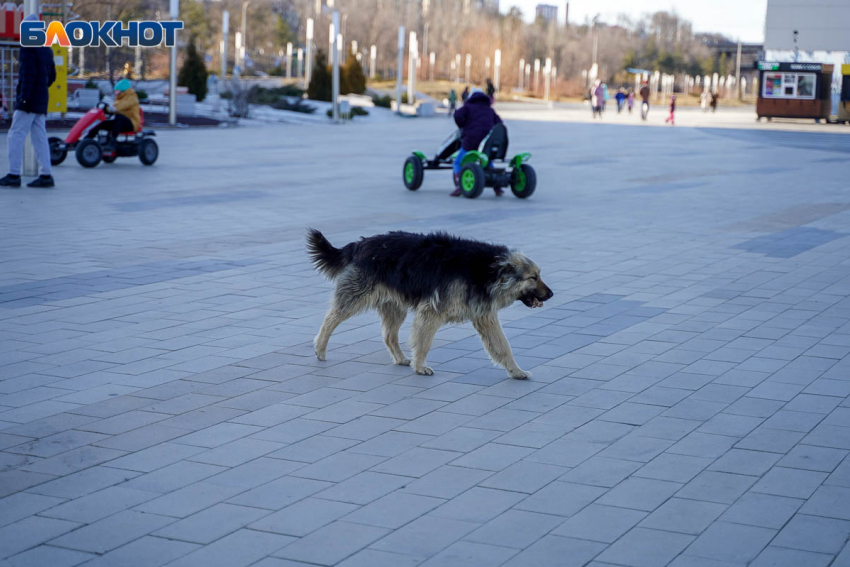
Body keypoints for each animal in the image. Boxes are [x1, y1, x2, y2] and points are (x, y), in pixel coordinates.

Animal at [304, 231, 548, 382]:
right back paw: (320, 348)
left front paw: (516, 372)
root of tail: (360, 244)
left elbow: (503, 347)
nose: (552, 294)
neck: (487, 270)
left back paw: (401, 359)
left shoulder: (485, 317)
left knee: (389, 336)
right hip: (355, 298)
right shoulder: (431, 312)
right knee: (331, 318)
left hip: (394, 306)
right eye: (533, 277)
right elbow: (424, 342)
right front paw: (420, 367)